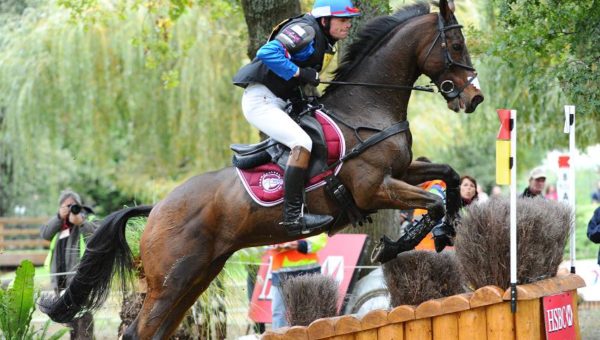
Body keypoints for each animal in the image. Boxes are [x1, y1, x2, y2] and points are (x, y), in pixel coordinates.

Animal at [39, 1, 482, 338]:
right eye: (456, 44)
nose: (474, 98)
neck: (365, 111)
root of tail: (156, 209)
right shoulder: (373, 188)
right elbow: (431, 203)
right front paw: (404, 242)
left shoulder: (401, 171)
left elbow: (447, 177)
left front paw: (443, 230)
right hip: (171, 282)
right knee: (140, 331)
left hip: (196, 277)